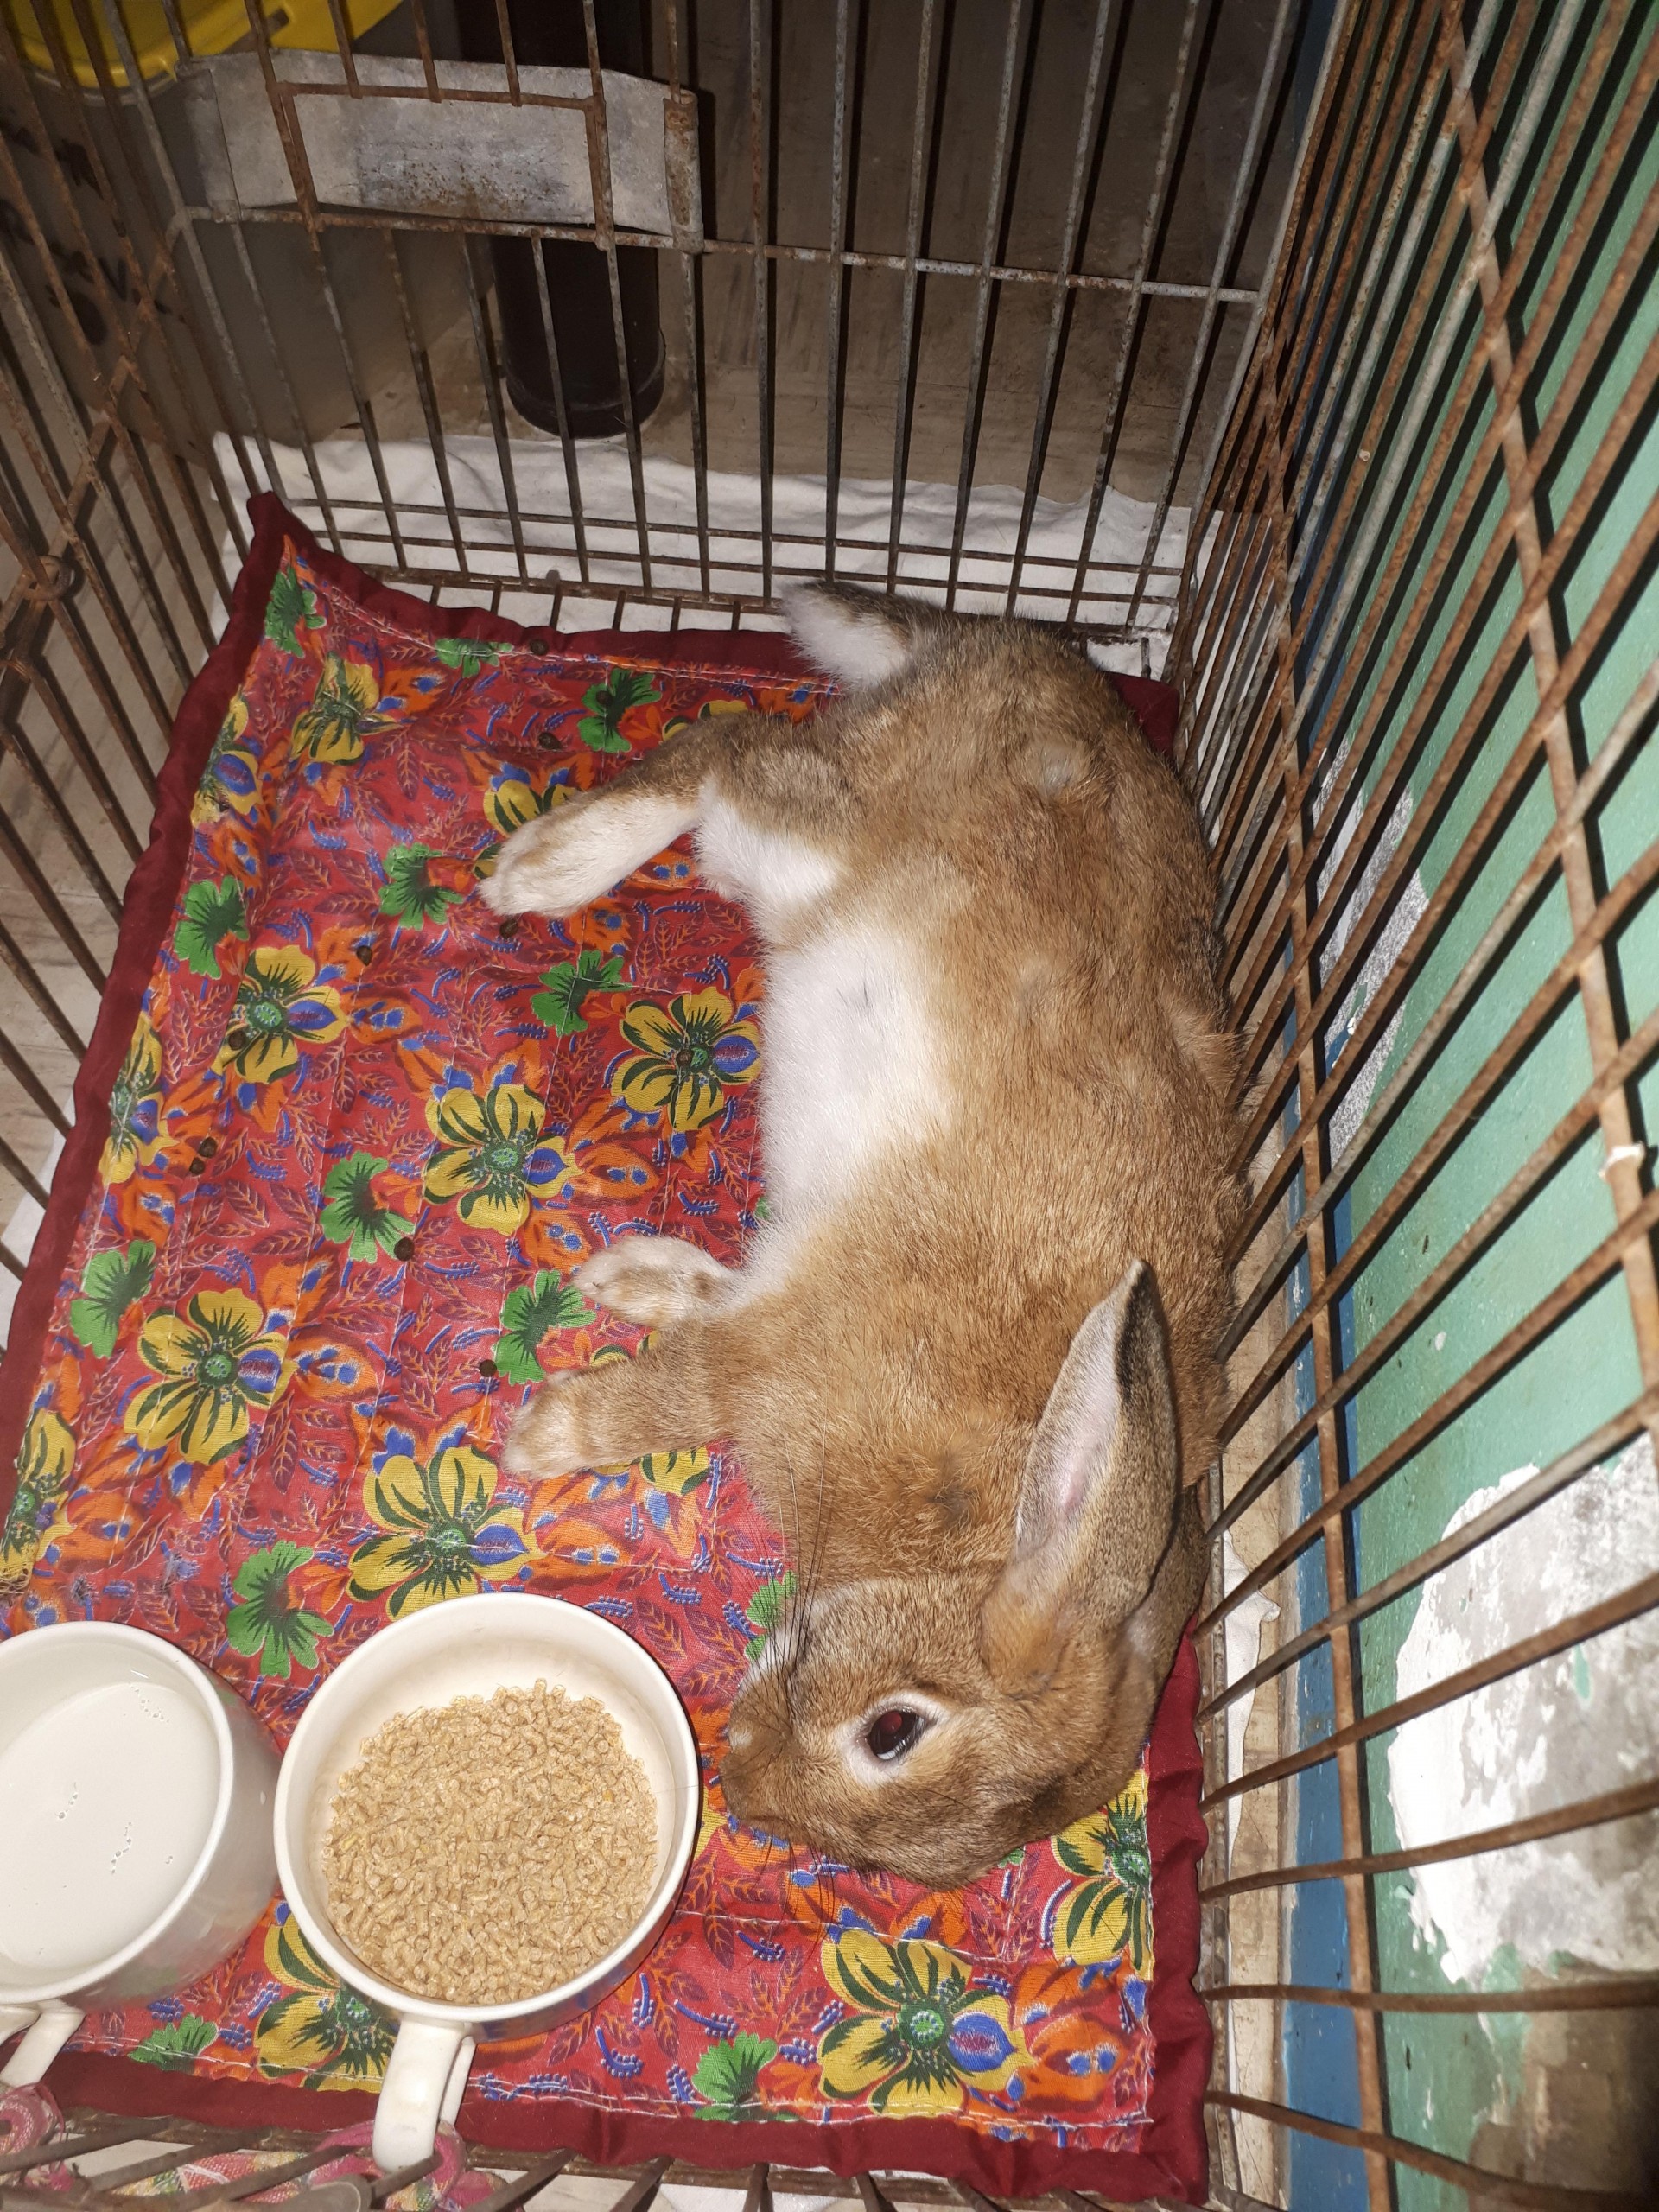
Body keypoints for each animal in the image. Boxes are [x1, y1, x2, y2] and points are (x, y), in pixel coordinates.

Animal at [481, 580, 1242, 1888]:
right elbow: (670, 1401)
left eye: (909, 1872)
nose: (738, 1776)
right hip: (811, 842)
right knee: (725, 749)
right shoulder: (784, 1355)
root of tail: (1034, 656)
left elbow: (704, 1308)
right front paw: (542, 1440)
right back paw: (545, 866)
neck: (977, 1516)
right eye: (896, 1730)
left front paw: (636, 1280)